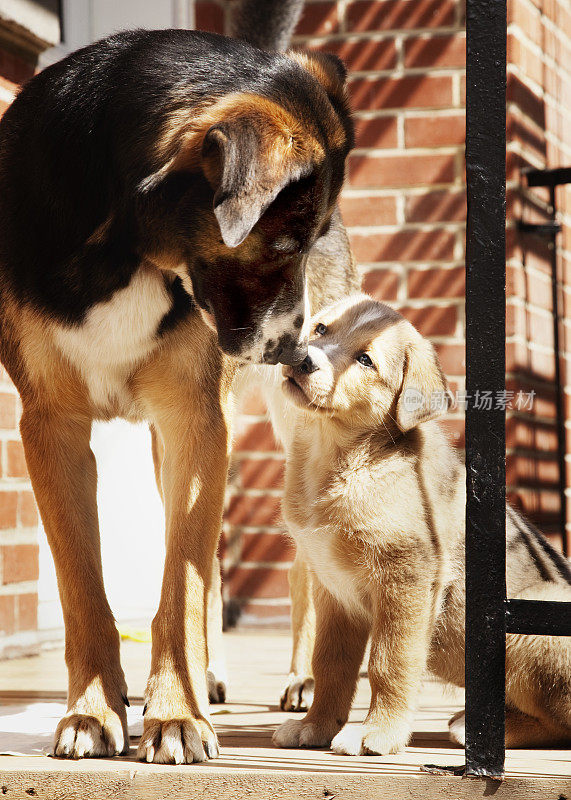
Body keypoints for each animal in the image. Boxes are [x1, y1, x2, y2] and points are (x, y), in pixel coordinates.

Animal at [0, 23, 354, 764]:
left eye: (312, 240)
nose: (296, 350)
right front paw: (93, 710)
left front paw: (176, 715)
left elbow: (179, 587)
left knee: (293, 564)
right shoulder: (52, 427)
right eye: (283, 242)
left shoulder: (195, 420)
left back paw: (305, 677)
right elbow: (85, 588)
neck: (124, 249)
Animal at [272, 294, 571, 756]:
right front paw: (316, 725)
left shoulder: (408, 578)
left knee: (560, 722)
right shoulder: (333, 590)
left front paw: (376, 735)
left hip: (533, 616)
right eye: (321, 329)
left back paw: (476, 728)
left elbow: (388, 662)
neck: (339, 461)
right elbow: (330, 664)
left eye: (365, 360)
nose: (304, 360)